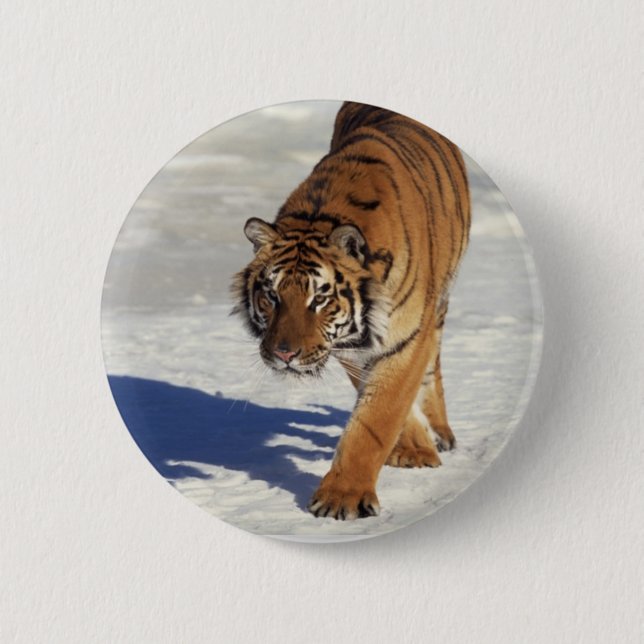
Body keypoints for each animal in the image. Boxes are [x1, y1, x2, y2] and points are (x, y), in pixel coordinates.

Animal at [232, 101, 471, 520]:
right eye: (272, 296)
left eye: (319, 299)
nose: (284, 354)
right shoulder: (350, 347)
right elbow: (379, 405)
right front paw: (412, 448)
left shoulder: (408, 336)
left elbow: (377, 418)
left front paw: (341, 498)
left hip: (438, 305)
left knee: (434, 364)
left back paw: (442, 434)